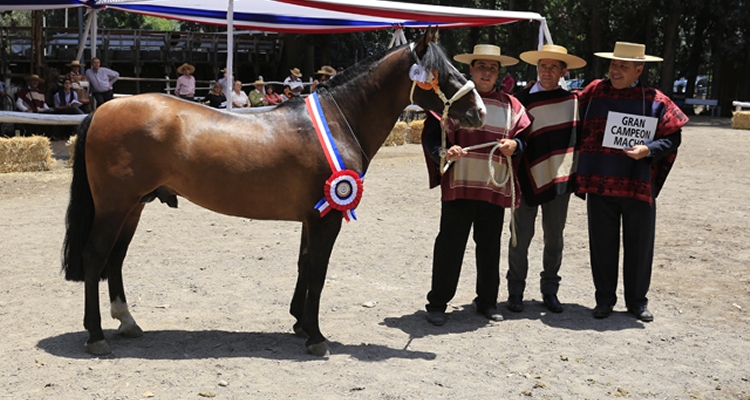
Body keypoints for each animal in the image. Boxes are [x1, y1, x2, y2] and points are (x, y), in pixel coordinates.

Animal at [64, 29, 488, 358]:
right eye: (441, 72)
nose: (479, 111)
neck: (338, 119)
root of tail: (103, 110)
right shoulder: (326, 217)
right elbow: (317, 270)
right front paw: (316, 338)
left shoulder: (312, 214)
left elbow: (303, 265)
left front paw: (300, 323)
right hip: (115, 206)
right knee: (95, 257)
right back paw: (96, 336)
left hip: (133, 206)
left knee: (115, 260)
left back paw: (127, 322)